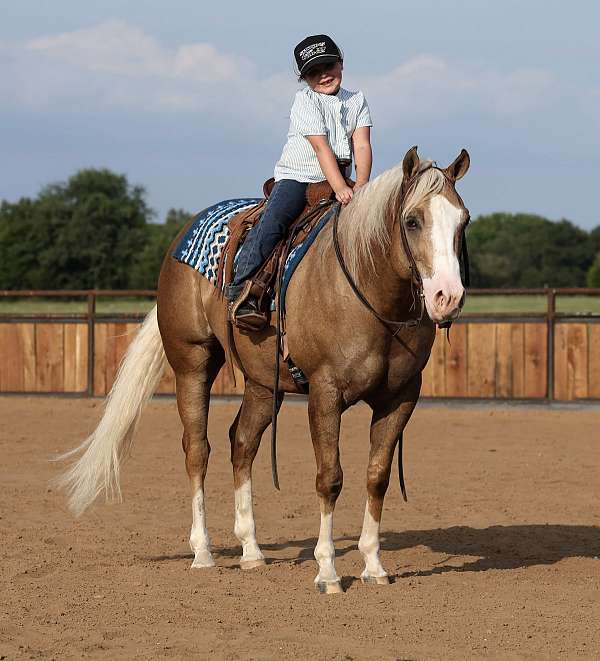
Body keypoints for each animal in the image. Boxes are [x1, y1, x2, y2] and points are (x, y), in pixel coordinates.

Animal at [58, 146, 470, 594]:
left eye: (463, 219)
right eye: (413, 220)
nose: (448, 297)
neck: (369, 292)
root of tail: (181, 238)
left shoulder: (400, 398)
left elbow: (376, 476)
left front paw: (374, 566)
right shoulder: (325, 393)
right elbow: (330, 477)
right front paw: (327, 571)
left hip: (261, 384)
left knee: (242, 443)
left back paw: (251, 551)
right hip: (192, 362)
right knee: (197, 449)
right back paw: (203, 552)